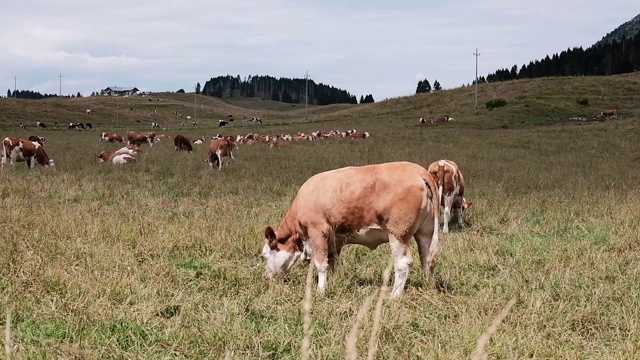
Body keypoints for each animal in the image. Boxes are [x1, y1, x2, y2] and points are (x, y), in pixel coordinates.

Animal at [264, 162, 440, 296]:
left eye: (264, 256)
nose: (267, 277)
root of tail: (418, 171)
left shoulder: (318, 232)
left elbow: (321, 264)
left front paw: (320, 290)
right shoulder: (334, 240)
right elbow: (332, 263)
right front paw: (332, 282)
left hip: (398, 235)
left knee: (403, 263)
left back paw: (394, 295)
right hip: (425, 233)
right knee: (427, 260)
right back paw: (429, 287)